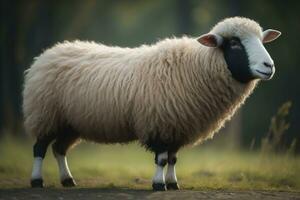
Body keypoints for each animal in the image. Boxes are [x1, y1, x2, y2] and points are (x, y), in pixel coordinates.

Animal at [23, 16, 282, 190]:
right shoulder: (159, 122)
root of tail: (47, 54)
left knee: (59, 149)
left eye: (262, 40)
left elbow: (173, 159)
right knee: (40, 148)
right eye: (235, 43)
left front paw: (173, 183)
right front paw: (158, 184)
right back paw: (37, 180)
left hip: (70, 122)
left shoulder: (178, 126)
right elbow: (161, 158)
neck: (196, 67)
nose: (269, 66)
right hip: (45, 114)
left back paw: (68, 180)